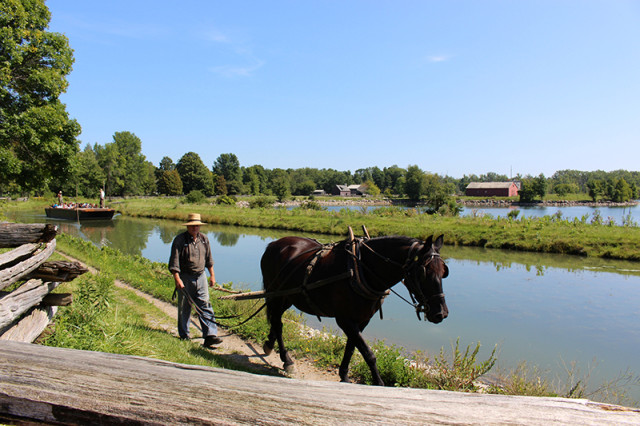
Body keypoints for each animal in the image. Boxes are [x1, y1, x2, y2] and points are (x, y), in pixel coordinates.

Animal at [260, 235, 450, 384]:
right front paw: (378, 382)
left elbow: (351, 347)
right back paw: (286, 359)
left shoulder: (362, 320)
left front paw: (344, 375)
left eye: (443, 272)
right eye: (423, 272)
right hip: (276, 293)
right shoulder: (344, 320)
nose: (441, 313)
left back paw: (270, 344)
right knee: (277, 322)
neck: (360, 269)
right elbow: (368, 353)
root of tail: (274, 244)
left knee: (277, 320)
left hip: (287, 297)